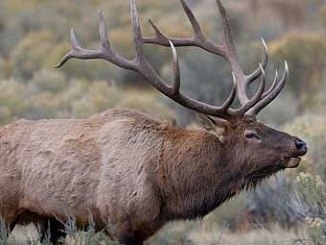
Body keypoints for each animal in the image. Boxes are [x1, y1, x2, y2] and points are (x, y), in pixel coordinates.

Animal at [0, 0, 306, 244]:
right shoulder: (120, 222)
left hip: (50, 221)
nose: (300, 143)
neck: (168, 184)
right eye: (251, 134)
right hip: (6, 210)